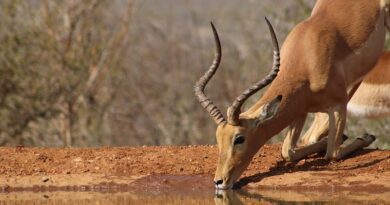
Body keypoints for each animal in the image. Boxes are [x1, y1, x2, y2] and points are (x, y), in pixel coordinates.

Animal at [195, 0, 390, 189]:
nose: (219, 181)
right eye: (218, 138)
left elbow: (332, 153)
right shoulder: (299, 108)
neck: (308, 58)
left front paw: (364, 136)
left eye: (239, 138)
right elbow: (287, 151)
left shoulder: (339, 105)